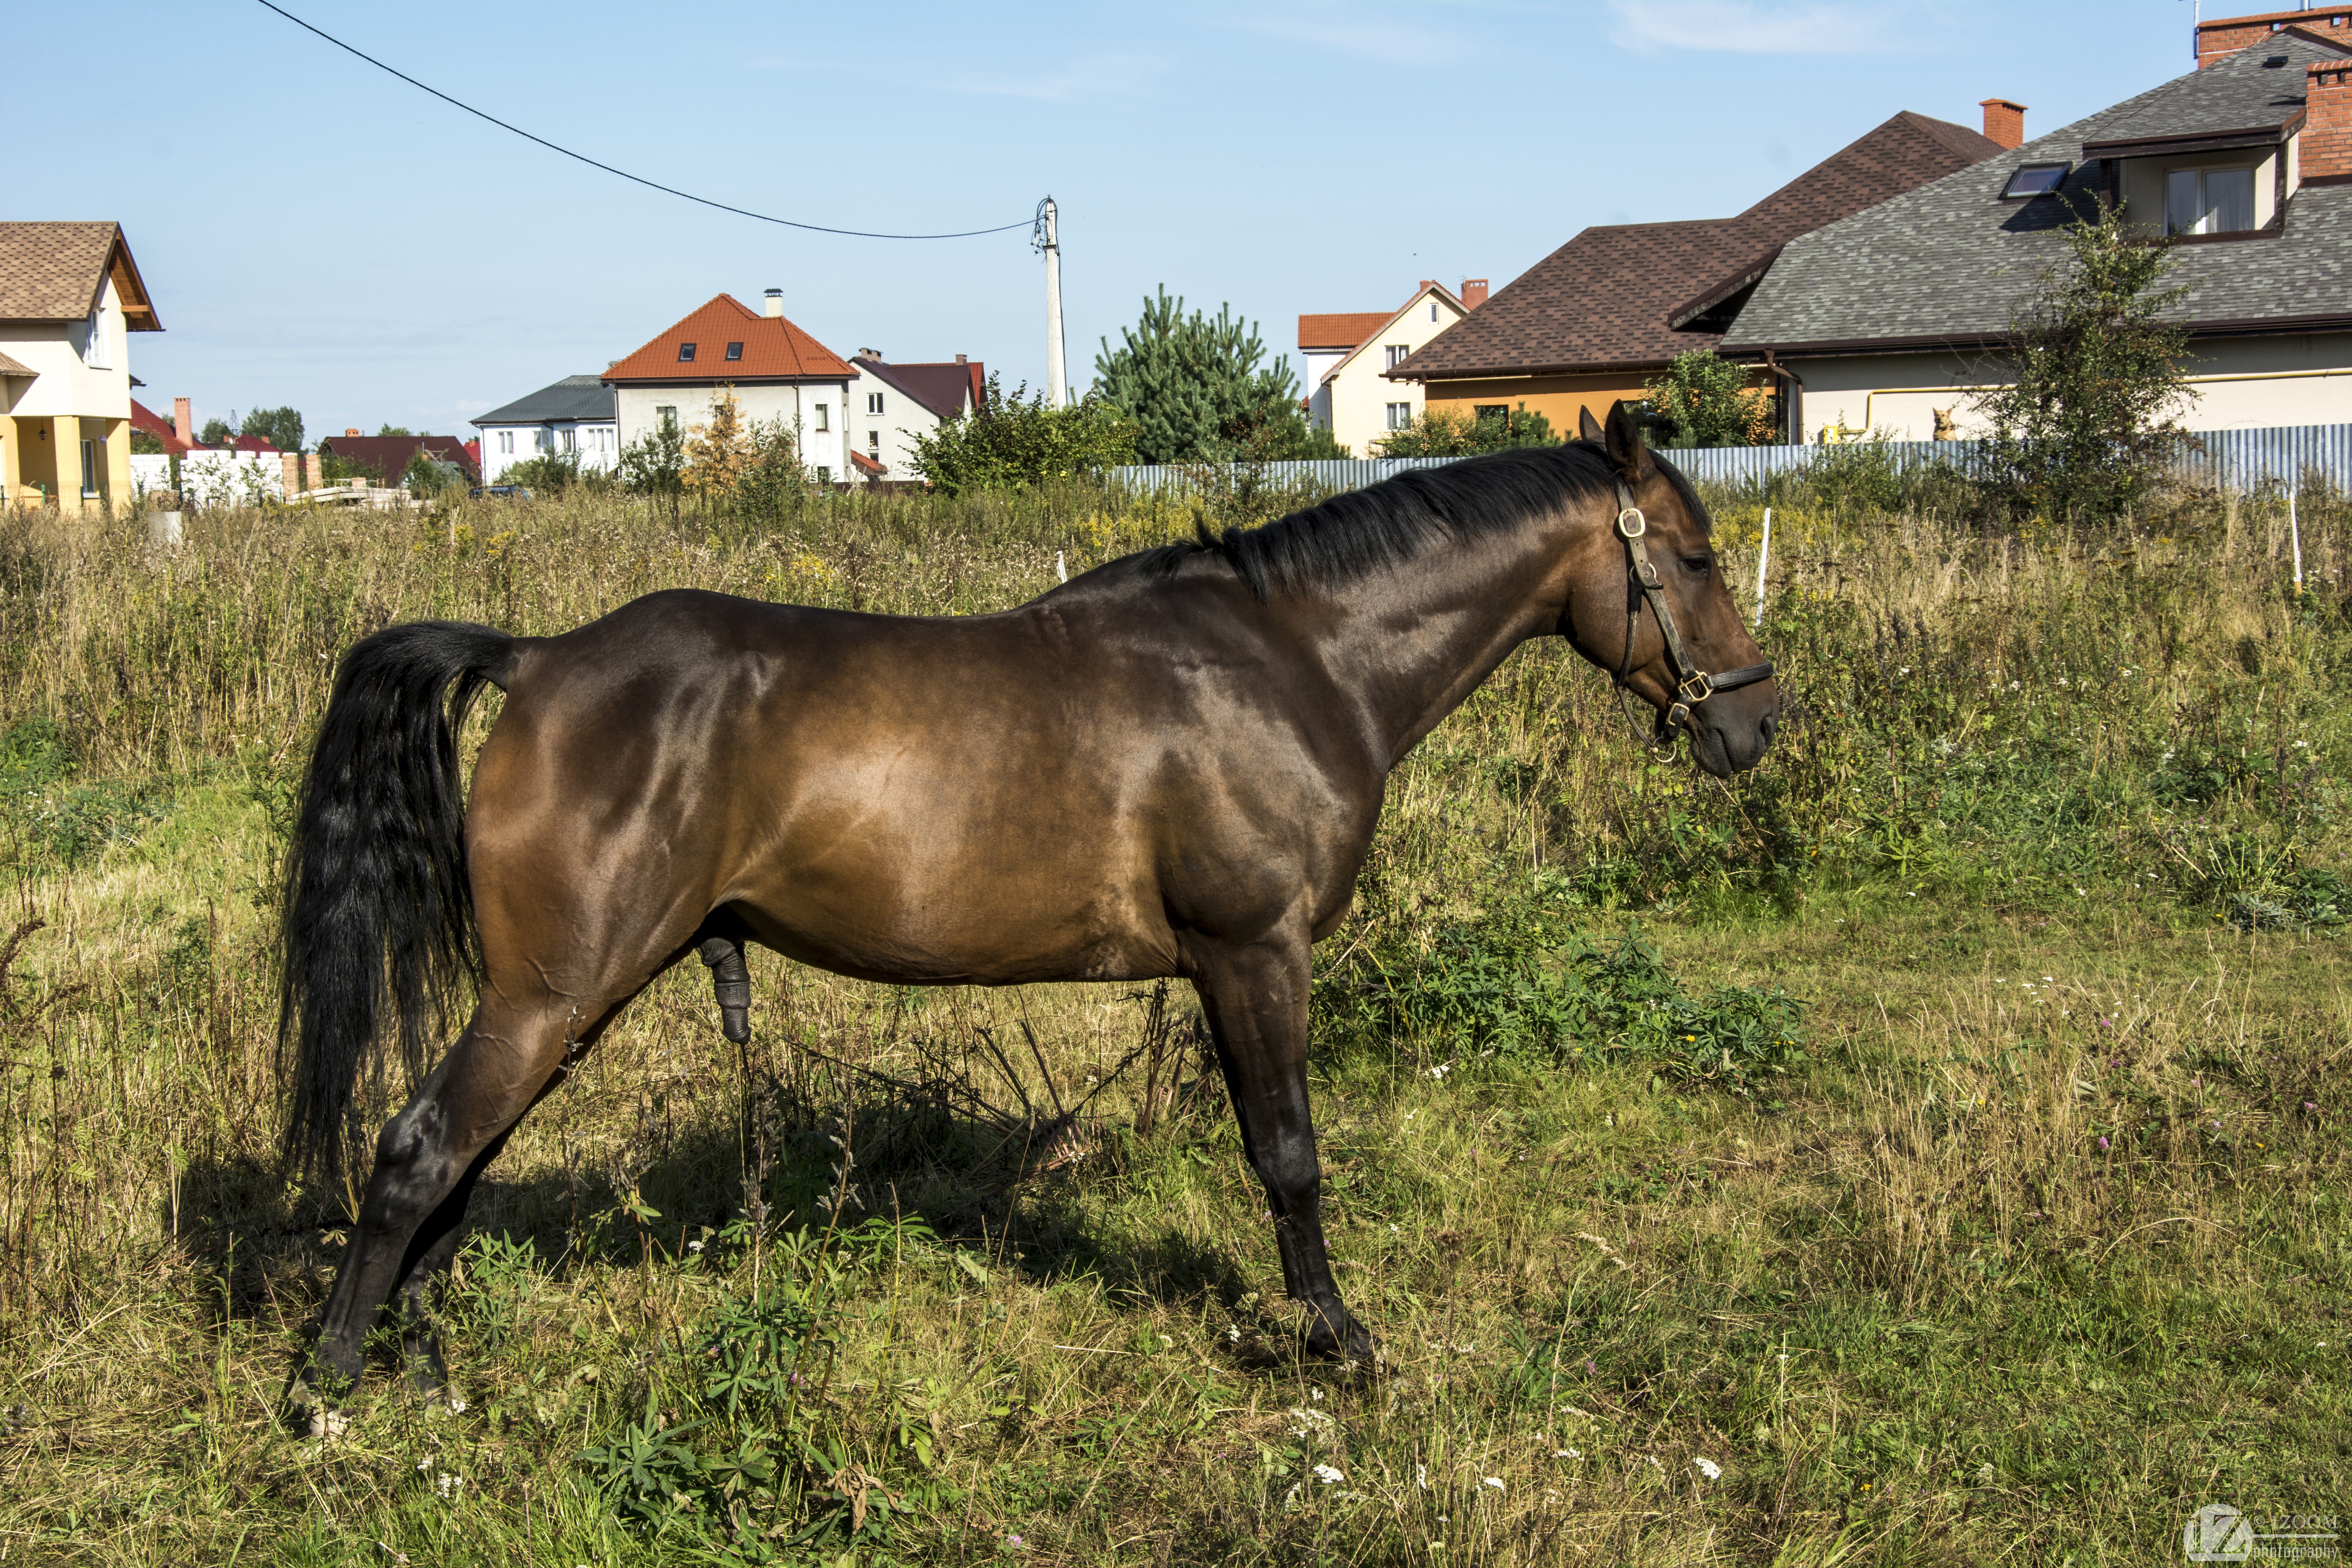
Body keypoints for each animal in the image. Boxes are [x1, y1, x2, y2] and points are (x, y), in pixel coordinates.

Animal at [278, 400, 1777, 1406]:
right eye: (1696, 558)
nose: (1756, 723)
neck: (1298, 662)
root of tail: (533, 659)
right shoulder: (1254, 954)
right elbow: (1288, 1155)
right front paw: (1335, 1337)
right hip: (551, 996)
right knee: (418, 1151)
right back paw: (330, 1385)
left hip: (560, 1004)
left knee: (454, 1167)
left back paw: (417, 1363)